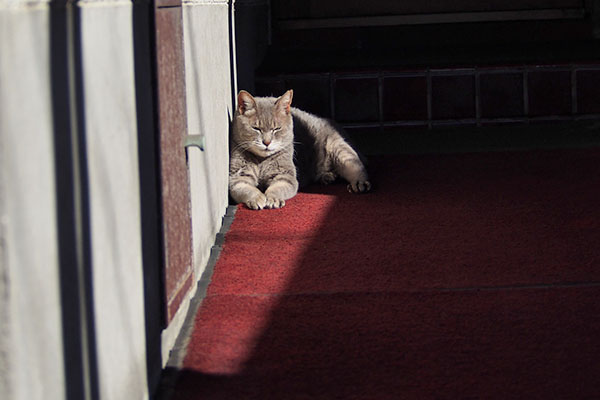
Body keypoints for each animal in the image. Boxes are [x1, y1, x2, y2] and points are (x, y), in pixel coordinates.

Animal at [230, 90, 370, 209]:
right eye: (256, 128)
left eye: (277, 129)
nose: (267, 142)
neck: (261, 161)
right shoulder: (238, 177)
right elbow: (247, 189)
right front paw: (257, 197)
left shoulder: (285, 176)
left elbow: (277, 188)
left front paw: (272, 198)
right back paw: (327, 176)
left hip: (340, 150)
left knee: (357, 166)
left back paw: (359, 182)